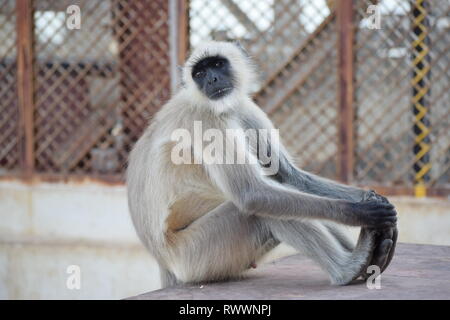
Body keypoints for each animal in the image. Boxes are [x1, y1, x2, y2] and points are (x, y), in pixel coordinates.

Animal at [126, 40, 398, 288]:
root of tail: (164, 261)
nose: (212, 80)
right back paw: (348, 269)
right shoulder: (204, 119)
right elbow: (251, 193)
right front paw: (361, 211)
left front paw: (372, 199)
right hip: (195, 257)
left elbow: (290, 177)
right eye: (199, 74)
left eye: (217, 65)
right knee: (258, 211)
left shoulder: (243, 107)